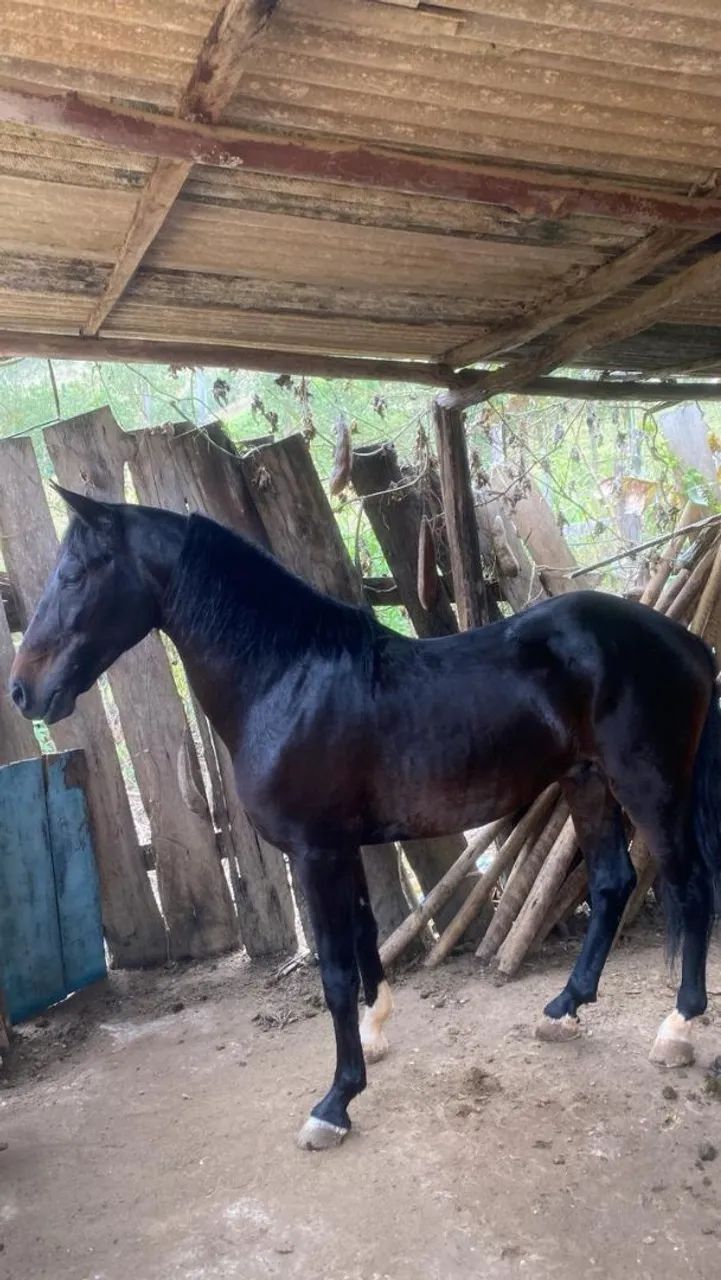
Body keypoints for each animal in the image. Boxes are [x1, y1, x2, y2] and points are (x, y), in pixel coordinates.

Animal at [9, 486, 721, 1150]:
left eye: (74, 575)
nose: (23, 691)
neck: (287, 678)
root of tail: (687, 642)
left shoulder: (314, 852)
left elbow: (334, 971)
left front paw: (335, 1103)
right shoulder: (340, 847)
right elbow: (364, 931)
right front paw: (376, 1030)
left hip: (648, 788)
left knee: (689, 886)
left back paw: (678, 1028)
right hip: (587, 783)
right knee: (612, 884)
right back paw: (564, 1009)